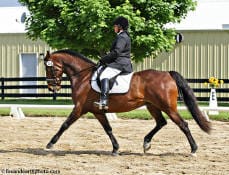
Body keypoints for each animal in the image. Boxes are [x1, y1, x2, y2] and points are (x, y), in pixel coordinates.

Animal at [43, 50, 211, 155]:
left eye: (50, 68)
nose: (52, 87)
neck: (83, 77)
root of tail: (167, 74)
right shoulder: (97, 111)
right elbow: (108, 129)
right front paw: (115, 149)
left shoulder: (79, 108)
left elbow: (65, 124)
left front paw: (50, 144)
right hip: (152, 106)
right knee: (161, 122)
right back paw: (146, 143)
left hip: (168, 107)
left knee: (183, 124)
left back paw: (193, 149)